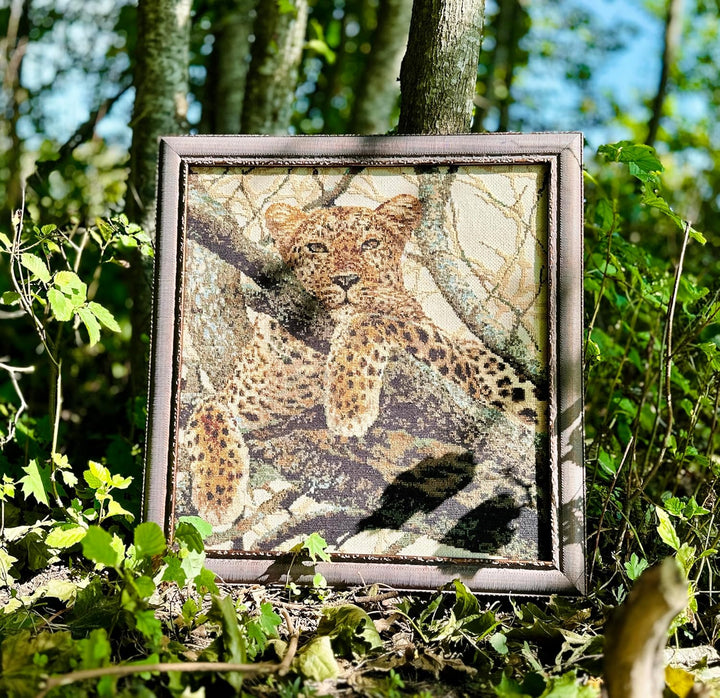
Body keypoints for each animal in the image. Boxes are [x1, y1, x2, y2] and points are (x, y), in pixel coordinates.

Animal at [182, 194, 545, 528]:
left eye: (370, 244)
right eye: (316, 248)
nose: (346, 280)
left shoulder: (457, 373)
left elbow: (369, 319)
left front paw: (349, 406)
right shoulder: (245, 399)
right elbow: (206, 413)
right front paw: (217, 496)